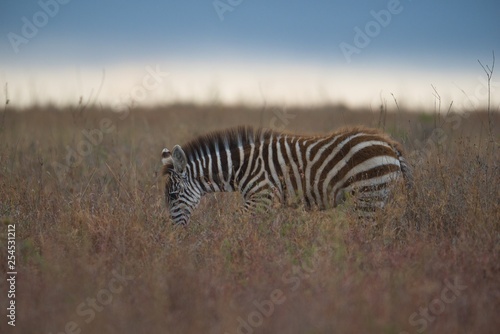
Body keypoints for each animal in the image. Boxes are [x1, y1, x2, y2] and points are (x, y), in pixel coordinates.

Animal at [162, 126, 412, 226]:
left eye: (173, 196)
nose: (176, 233)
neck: (241, 167)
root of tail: (389, 144)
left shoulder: (260, 197)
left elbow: (236, 222)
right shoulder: (266, 202)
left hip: (369, 195)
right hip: (378, 195)